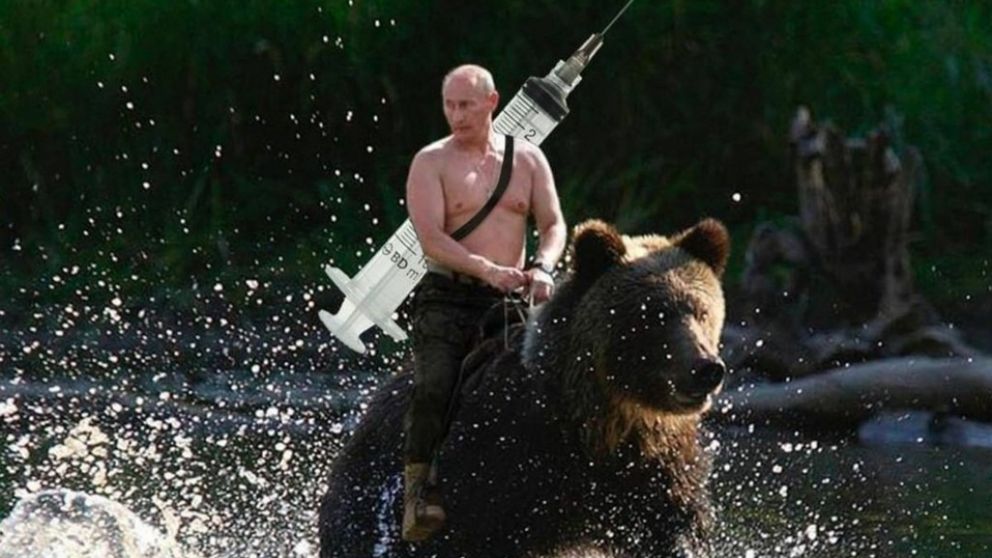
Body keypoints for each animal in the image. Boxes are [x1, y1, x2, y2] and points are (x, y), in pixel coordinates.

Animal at [318, 218, 730, 558]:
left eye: (702, 311)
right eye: (654, 315)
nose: (706, 369)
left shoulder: (654, 464)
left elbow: (676, 526)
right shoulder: (502, 454)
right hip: (370, 485)